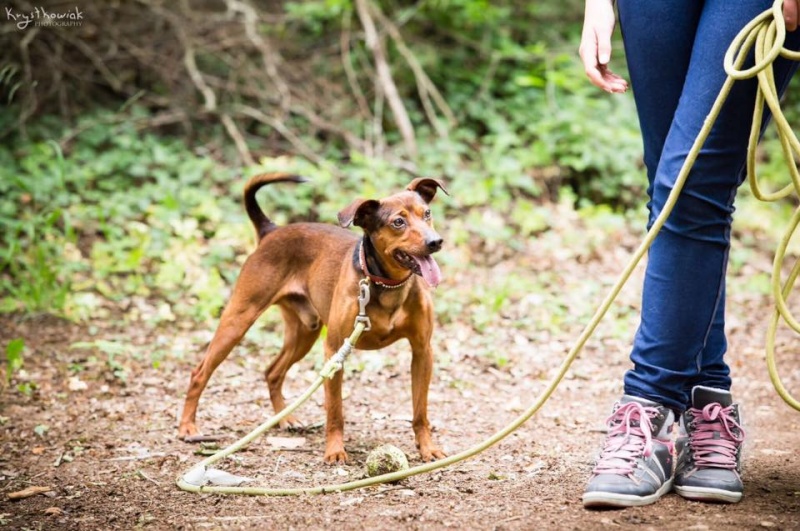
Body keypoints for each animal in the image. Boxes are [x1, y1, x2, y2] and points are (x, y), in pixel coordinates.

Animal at [177, 172, 446, 464]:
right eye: (398, 222)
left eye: (427, 213)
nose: (436, 242)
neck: (387, 284)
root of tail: (271, 230)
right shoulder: (334, 351)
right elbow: (335, 412)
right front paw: (335, 450)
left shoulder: (422, 351)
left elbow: (420, 412)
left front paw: (427, 447)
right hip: (237, 321)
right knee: (199, 372)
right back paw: (187, 426)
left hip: (304, 331)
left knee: (272, 372)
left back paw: (285, 419)